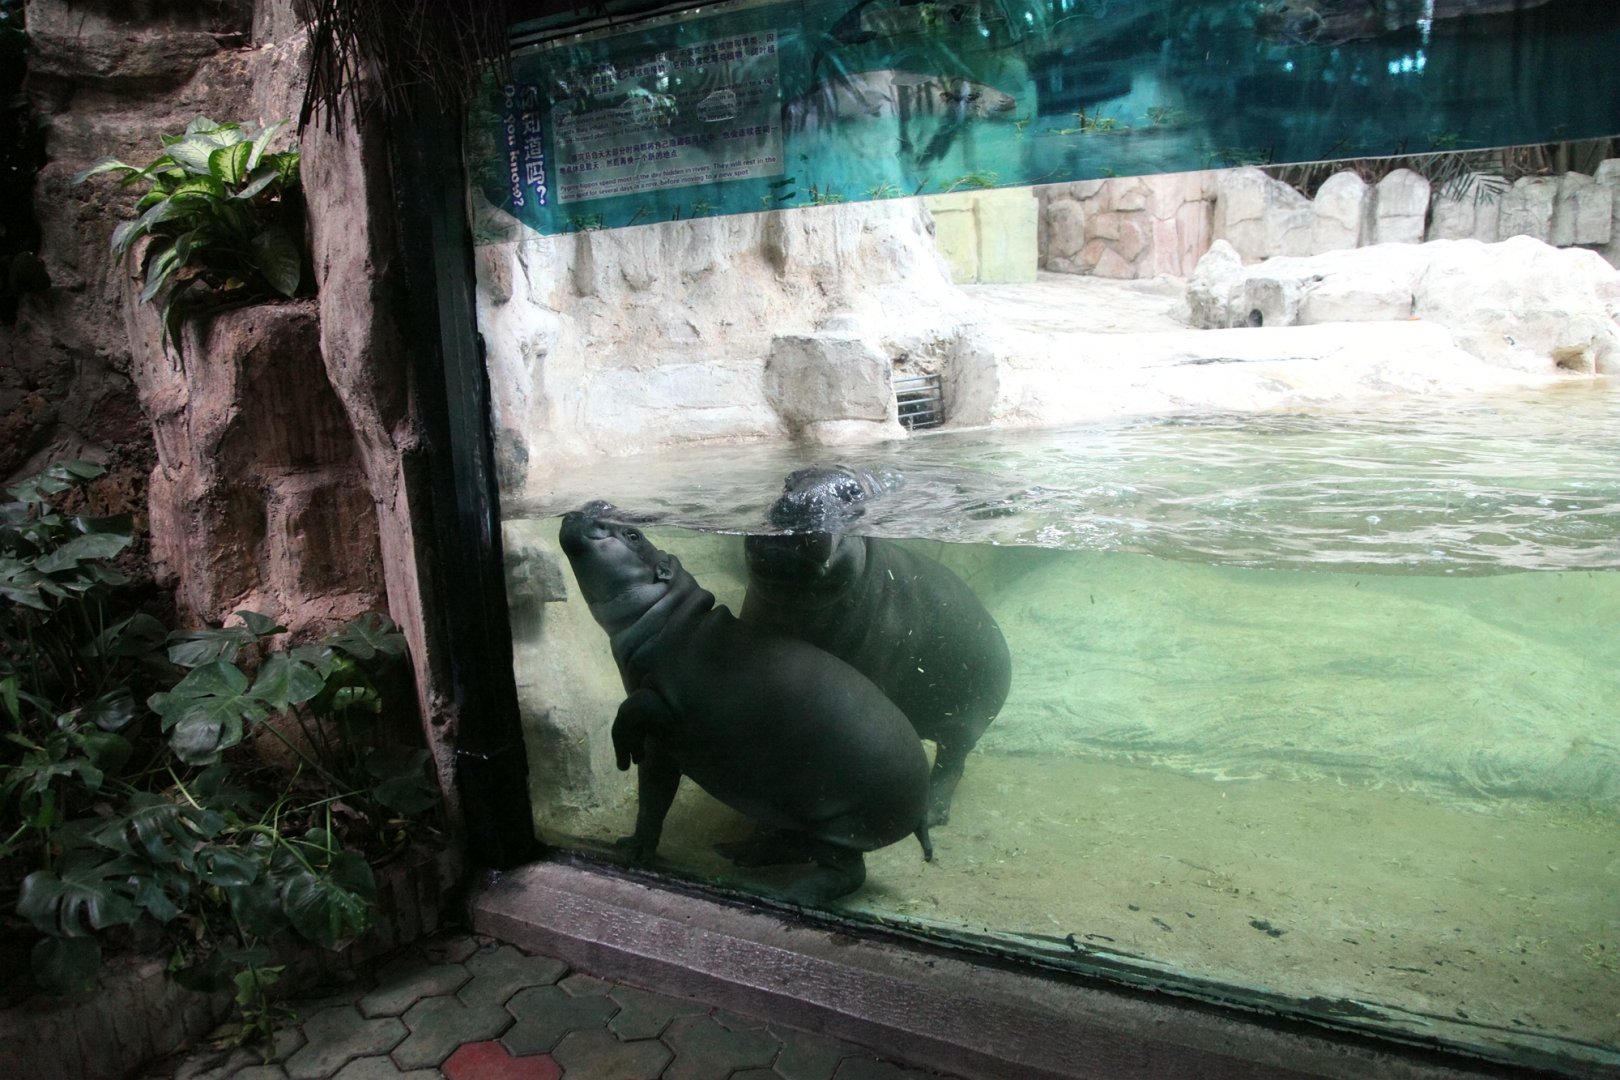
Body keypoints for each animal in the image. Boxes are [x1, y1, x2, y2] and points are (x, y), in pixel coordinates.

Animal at [559, 500, 932, 904]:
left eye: (632, 534)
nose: (585, 506)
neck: (667, 616)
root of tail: (923, 801)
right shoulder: (662, 748)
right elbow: (653, 802)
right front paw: (631, 847)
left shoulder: (670, 709)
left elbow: (638, 707)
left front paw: (622, 754)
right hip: (799, 811)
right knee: (793, 844)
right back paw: (739, 853)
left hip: (841, 827)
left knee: (847, 871)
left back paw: (794, 894)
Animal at [742, 466, 1012, 826]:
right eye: (787, 480)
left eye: (853, 492)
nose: (801, 502)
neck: (796, 613)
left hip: (969, 719)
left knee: (951, 763)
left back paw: (931, 814)